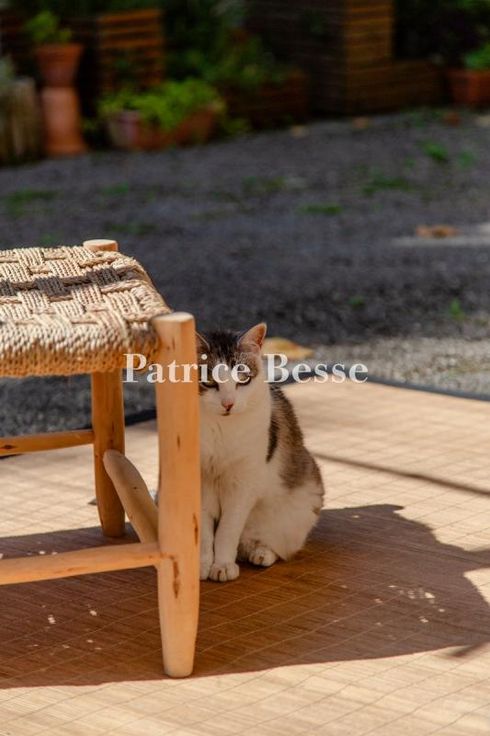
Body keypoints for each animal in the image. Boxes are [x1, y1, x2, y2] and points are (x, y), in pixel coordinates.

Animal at [197, 322, 325, 582]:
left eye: (243, 377)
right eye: (208, 381)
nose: (228, 403)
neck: (221, 429)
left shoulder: (242, 484)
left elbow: (227, 530)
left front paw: (223, 566)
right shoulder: (199, 483)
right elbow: (205, 534)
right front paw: (203, 566)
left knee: (267, 544)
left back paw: (260, 553)